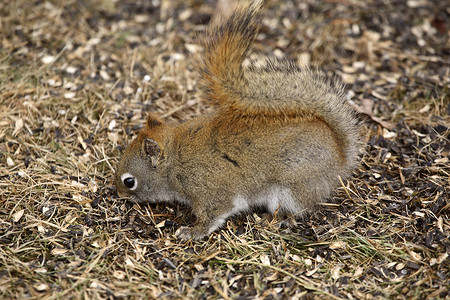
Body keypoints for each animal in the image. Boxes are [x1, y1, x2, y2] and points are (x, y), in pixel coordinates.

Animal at [116, 0, 362, 239]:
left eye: (129, 181)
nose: (117, 194)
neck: (175, 160)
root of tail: (340, 157)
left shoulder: (210, 189)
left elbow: (213, 214)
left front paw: (192, 232)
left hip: (292, 187)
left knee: (299, 209)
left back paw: (276, 219)